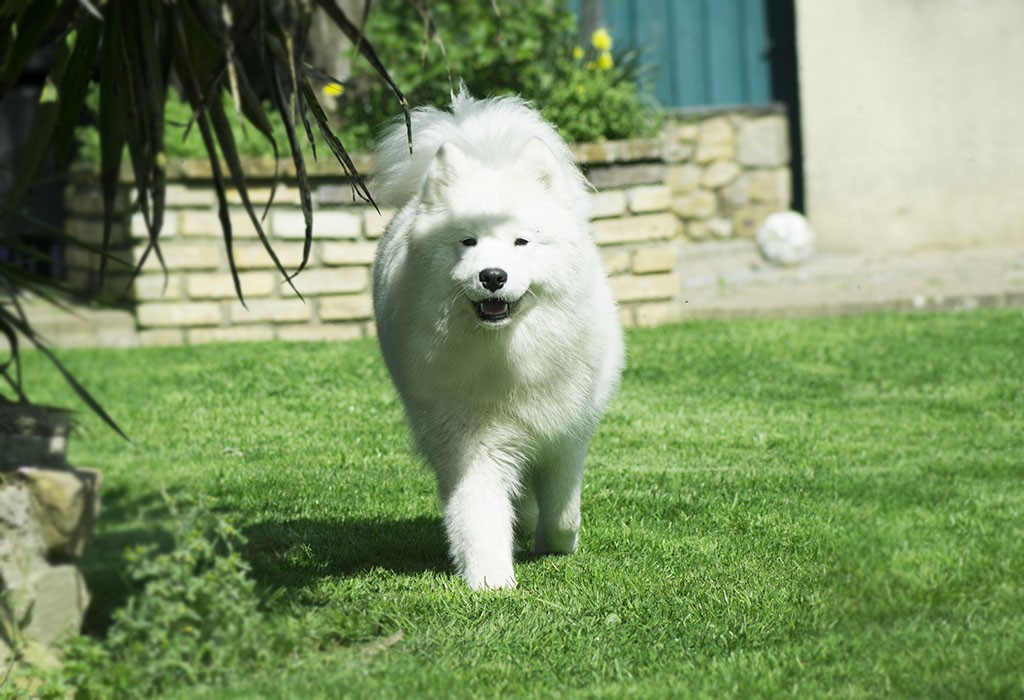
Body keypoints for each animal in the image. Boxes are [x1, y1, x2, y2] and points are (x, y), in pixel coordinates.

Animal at [370, 90, 622, 589]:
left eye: (521, 242)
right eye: (468, 241)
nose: (492, 276)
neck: (506, 351)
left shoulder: (565, 434)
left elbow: (563, 510)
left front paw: (555, 543)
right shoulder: (471, 438)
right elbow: (479, 509)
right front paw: (490, 580)